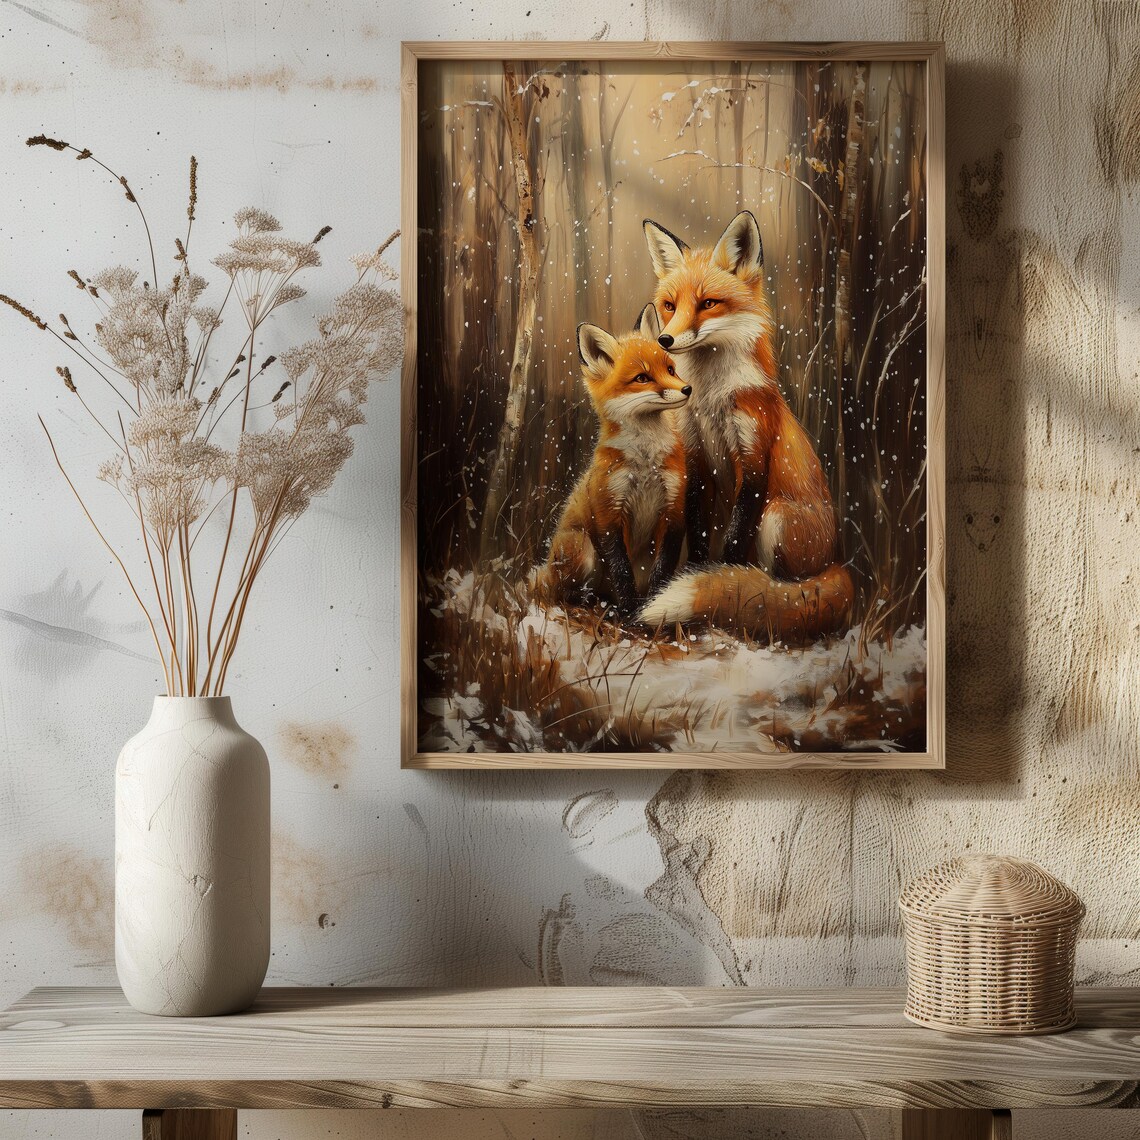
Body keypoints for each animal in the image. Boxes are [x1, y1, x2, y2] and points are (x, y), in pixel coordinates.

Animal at [534, 305, 690, 619]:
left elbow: (662, 570)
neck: (645, 462)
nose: (687, 389)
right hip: (582, 549)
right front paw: (630, 611)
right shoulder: (610, 512)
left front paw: (650, 607)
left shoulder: (674, 509)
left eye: (670, 369)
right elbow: (621, 570)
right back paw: (595, 606)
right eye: (642, 378)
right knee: (564, 593)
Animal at [637, 210, 854, 641]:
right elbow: (699, 532)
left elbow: (735, 541)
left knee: (787, 589)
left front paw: (725, 584)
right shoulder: (696, 457)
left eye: (708, 303)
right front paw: (696, 573)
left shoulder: (752, 456)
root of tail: (836, 562)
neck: (710, 399)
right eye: (669, 305)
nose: (665, 340)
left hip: (778, 518)